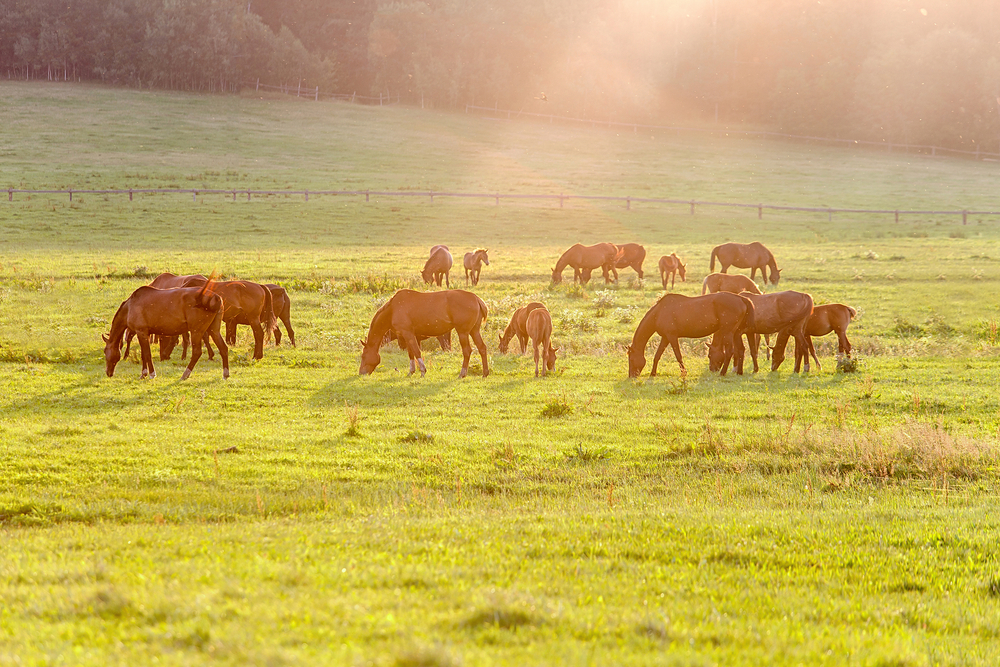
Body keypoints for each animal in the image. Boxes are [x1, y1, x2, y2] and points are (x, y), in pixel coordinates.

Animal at [359, 289, 489, 378]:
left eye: (363, 356)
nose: (361, 372)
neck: (392, 309)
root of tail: (477, 299)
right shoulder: (407, 336)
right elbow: (411, 353)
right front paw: (411, 371)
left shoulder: (408, 334)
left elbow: (416, 352)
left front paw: (422, 371)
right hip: (474, 331)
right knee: (482, 348)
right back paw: (485, 373)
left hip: (463, 332)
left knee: (467, 351)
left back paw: (462, 373)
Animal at [627, 292, 755, 378]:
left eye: (631, 359)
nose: (631, 375)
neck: (659, 312)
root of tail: (741, 298)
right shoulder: (665, 338)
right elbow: (657, 355)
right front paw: (653, 373)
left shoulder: (672, 337)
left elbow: (678, 356)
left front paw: (684, 373)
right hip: (736, 333)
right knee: (741, 350)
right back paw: (739, 372)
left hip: (728, 332)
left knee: (730, 351)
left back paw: (723, 373)